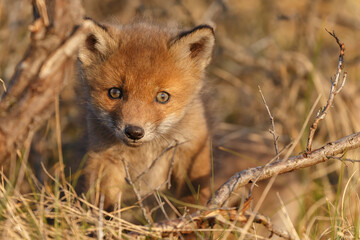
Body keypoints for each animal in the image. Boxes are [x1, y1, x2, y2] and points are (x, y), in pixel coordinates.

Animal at [77, 19, 215, 218]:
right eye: (115, 92)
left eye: (163, 97)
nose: (134, 132)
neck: (146, 152)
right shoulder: (105, 157)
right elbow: (103, 201)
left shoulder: (191, 149)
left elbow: (193, 198)